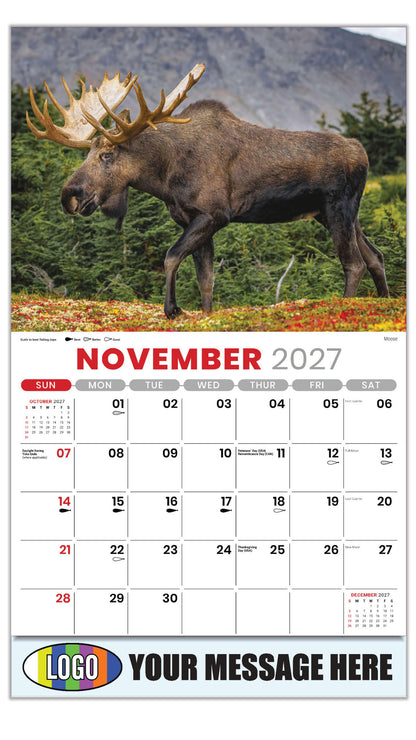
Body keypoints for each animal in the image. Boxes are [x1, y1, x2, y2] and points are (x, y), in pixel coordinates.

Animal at [26, 63, 389, 319]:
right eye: (88, 152)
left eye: (107, 154)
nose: (70, 195)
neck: (165, 175)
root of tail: (362, 152)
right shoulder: (192, 219)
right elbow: (206, 279)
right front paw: (202, 313)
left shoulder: (214, 215)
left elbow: (171, 256)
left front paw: (172, 309)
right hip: (335, 214)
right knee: (375, 255)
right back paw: (386, 302)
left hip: (337, 207)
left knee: (354, 262)